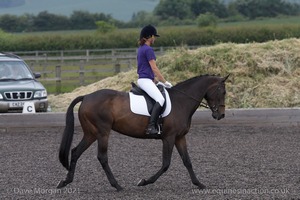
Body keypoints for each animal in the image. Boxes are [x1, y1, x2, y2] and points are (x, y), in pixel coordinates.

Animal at [57, 74, 229, 191]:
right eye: (223, 92)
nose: (220, 115)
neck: (181, 102)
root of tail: (86, 96)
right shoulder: (169, 138)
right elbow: (166, 164)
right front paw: (144, 181)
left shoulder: (180, 137)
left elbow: (187, 161)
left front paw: (199, 183)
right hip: (102, 132)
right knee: (102, 157)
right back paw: (117, 185)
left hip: (91, 133)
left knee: (76, 151)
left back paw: (65, 181)